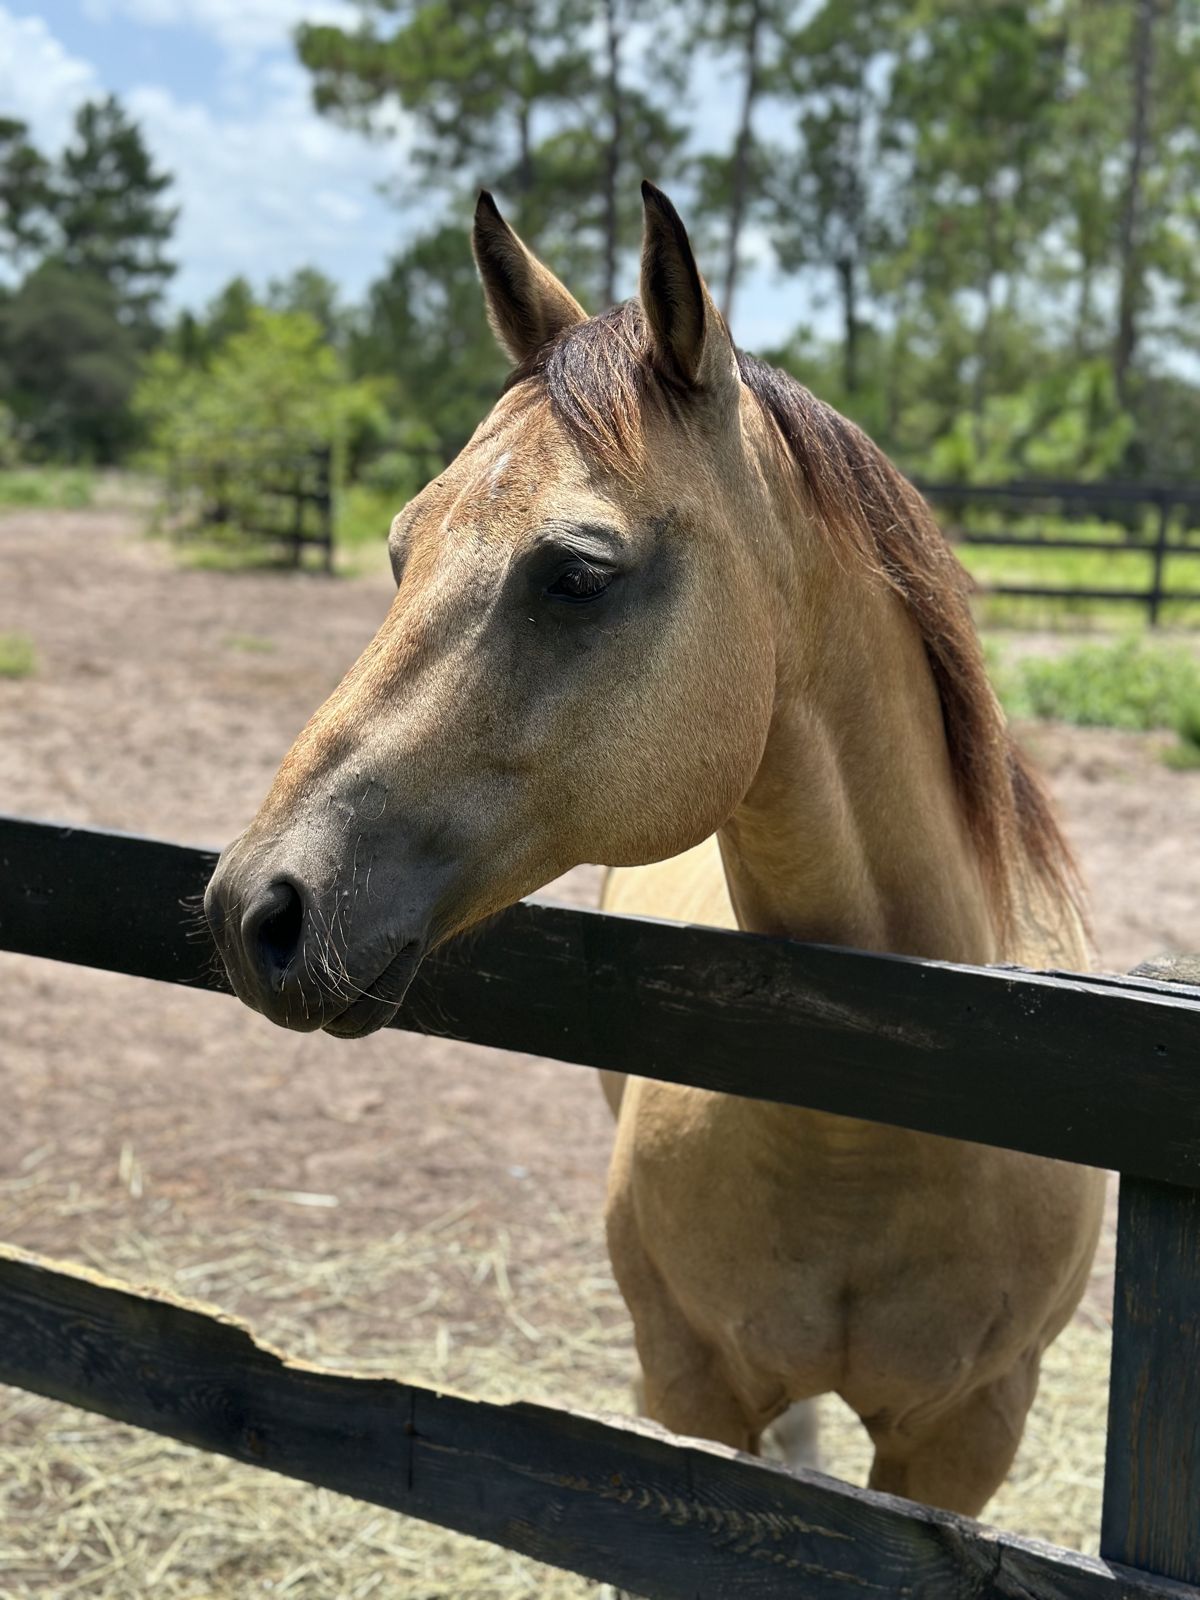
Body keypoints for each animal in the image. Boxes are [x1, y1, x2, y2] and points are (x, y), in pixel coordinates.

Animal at [204, 182, 1105, 1526]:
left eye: (577, 573)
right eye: (402, 547)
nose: (257, 907)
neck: (883, 1114)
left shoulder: (967, 1441)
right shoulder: (690, 1390)